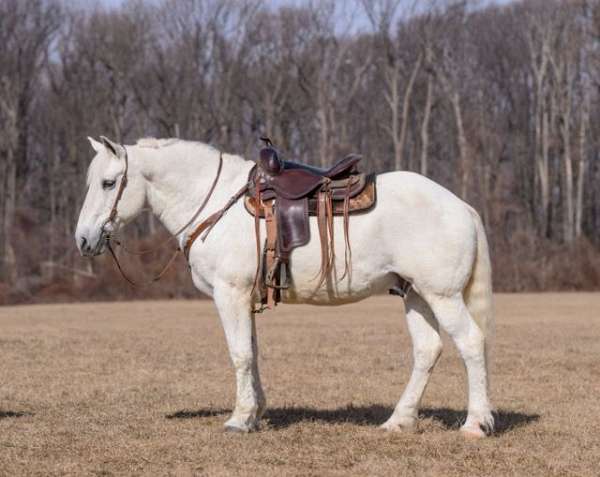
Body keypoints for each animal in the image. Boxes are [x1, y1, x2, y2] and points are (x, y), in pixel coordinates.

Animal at [75, 136, 494, 436]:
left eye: (109, 183)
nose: (83, 239)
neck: (213, 201)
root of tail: (461, 206)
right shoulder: (244, 298)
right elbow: (252, 353)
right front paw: (255, 413)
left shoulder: (230, 294)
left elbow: (240, 354)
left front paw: (239, 420)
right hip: (416, 294)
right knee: (427, 350)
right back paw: (399, 421)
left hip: (442, 296)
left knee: (471, 342)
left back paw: (476, 423)